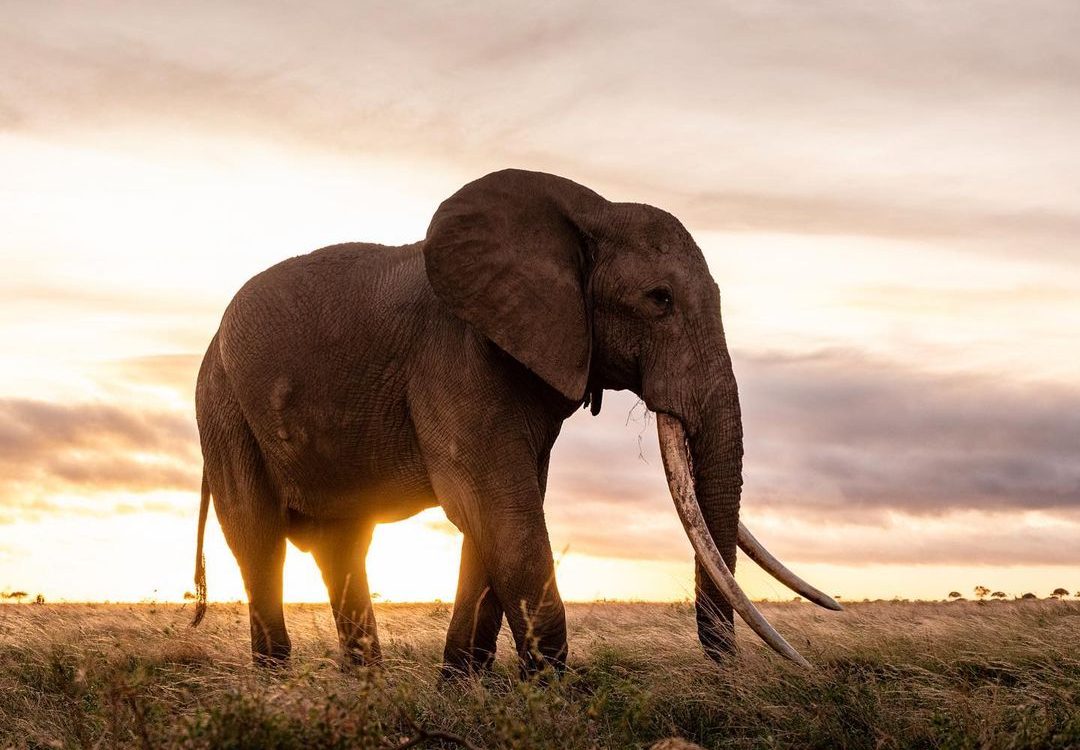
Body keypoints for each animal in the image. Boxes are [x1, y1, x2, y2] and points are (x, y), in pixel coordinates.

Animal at [190, 168, 840, 674]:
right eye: (659, 299)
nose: (722, 670)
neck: (589, 211)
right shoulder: (455, 358)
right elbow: (500, 510)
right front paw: (555, 701)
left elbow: (497, 521)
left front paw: (461, 694)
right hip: (221, 407)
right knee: (258, 542)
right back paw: (280, 691)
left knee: (342, 546)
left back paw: (361, 693)